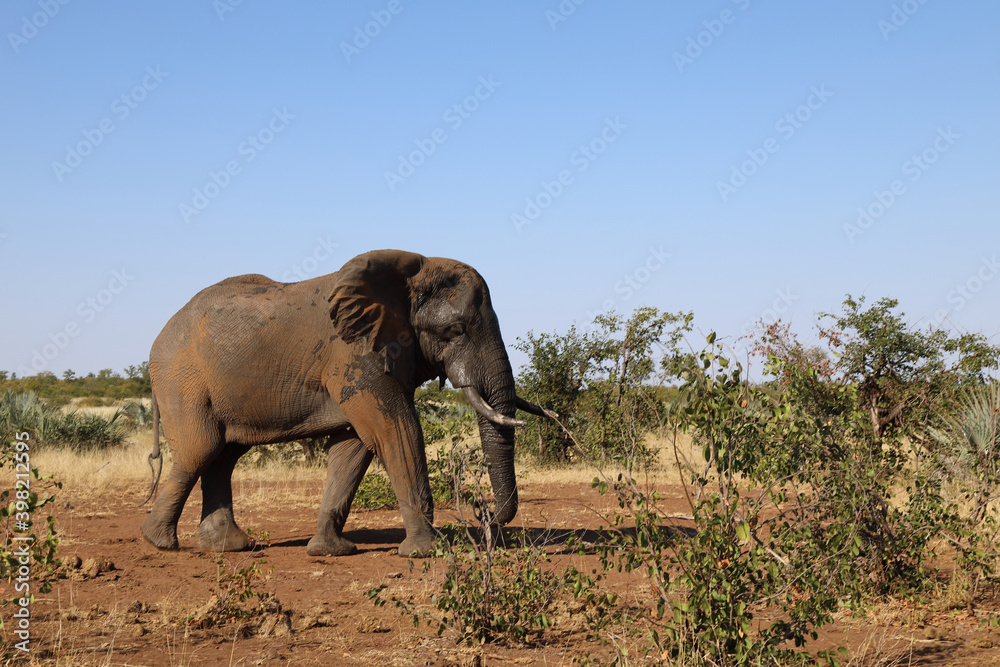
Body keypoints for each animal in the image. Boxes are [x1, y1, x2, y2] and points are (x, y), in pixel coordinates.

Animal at [140, 249, 554, 557]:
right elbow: (396, 430)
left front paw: (329, 551)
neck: (410, 270)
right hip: (182, 379)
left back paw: (228, 547)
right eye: (455, 330)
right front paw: (428, 551)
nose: (483, 513)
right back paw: (159, 542)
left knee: (223, 456)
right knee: (202, 449)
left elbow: (353, 448)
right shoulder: (354, 352)